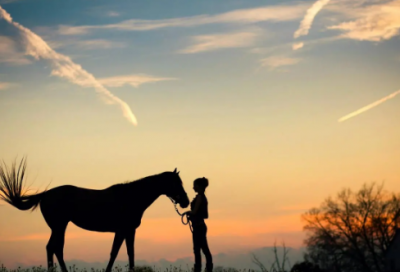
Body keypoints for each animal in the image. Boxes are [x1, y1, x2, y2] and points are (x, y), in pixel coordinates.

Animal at [0, 158, 190, 272]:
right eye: (176, 183)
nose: (186, 202)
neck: (130, 197)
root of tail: (44, 194)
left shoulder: (129, 231)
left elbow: (129, 253)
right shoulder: (122, 230)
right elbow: (115, 253)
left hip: (59, 227)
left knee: (54, 248)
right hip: (59, 226)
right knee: (54, 248)